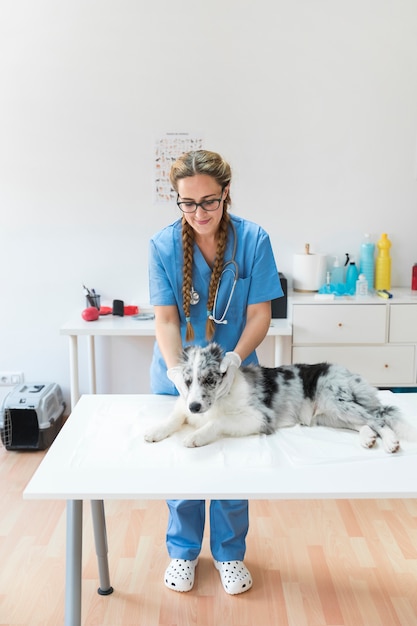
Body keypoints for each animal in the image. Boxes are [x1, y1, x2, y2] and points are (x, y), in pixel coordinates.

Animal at [146, 344, 410, 450]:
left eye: (209, 379)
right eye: (188, 381)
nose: (195, 406)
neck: (218, 400)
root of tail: (349, 373)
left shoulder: (260, 418)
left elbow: (217, 422)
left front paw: (195, 437)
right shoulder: (183, 407)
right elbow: (173, 418)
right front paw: (154, 431)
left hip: (337, 401)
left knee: (378, 418)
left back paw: (391, 442)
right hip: (330, 415)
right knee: (365, 423)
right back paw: (368, 438)